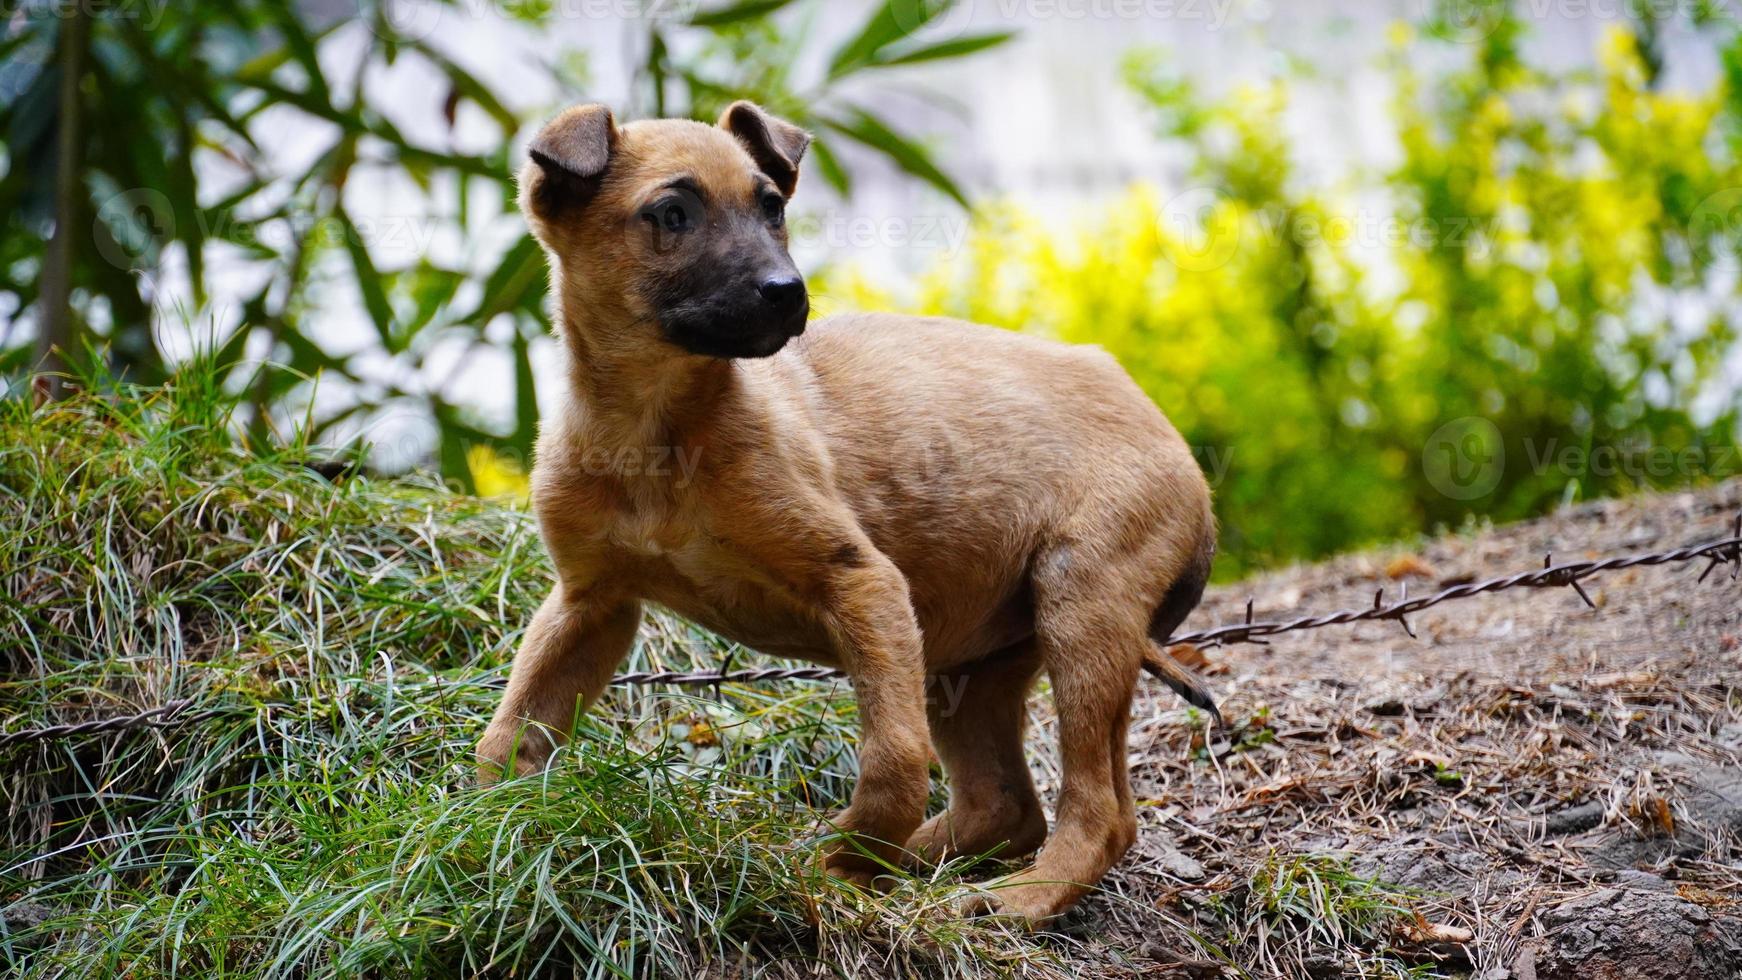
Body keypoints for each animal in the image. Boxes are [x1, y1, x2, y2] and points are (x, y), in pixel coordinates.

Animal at [473, 103, 1212, 926]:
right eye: (671, 214)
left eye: (772, 207)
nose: (787, 291)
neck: (656, 432)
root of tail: (1158, 420)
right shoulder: (590, 603)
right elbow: (511, 730)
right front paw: (484, 829)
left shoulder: (862, 582)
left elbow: (891, 755)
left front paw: (851, 859)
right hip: (972, 662)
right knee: (1006, 807)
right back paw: (901, 864)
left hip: (1081, 600)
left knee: (1099, 811)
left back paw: (1009, 897)